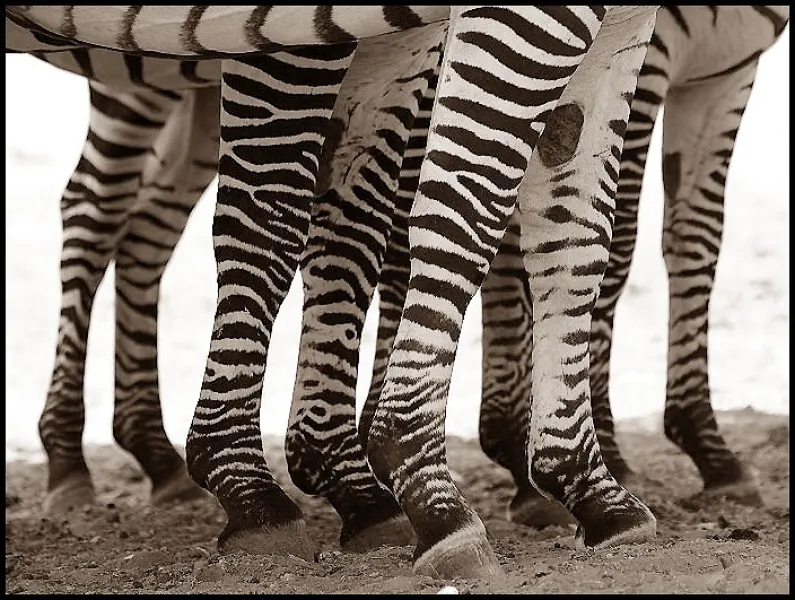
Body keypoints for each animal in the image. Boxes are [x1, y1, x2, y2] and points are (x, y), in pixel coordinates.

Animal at [8, 6, 662, 579]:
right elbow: (445, 209)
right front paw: (412, 487)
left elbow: (572, 233)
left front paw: (586, 486)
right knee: (95, 206)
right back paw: (71, 456)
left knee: (146, 224)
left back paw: (150, 452)